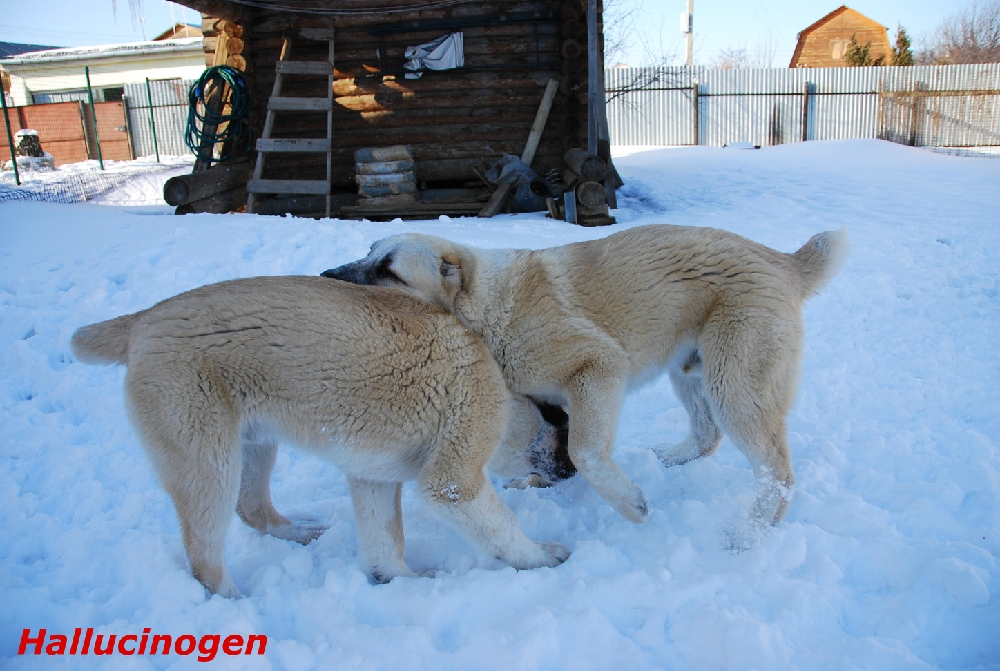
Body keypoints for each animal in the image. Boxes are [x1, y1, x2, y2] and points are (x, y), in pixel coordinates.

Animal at [70, 276, 572, 596]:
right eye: (559, 419)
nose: (571, 469)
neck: (496, 379)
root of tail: (142, 320)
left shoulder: (373, 478)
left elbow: (385, 547)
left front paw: (400, 582)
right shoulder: (453, 481)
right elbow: (503, 527)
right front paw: (541, 558)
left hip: (255, 446)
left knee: (253, 508)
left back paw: (299, 532)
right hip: (209, 463)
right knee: (204, 561)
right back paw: (238, 606)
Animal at [324, 224, 848, 536]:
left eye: (388, 270)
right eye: (367, 252)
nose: (325, 274)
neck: (488, 309)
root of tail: (783, 260)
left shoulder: (597, 366)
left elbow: (584, 451)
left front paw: (630, 505)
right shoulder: (556, 400)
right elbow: (555, 449)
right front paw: (537, 481)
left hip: (735, 385)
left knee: (777, 472)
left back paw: (750, 534)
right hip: (689, 370)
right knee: (706, 435)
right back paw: (667, 459)